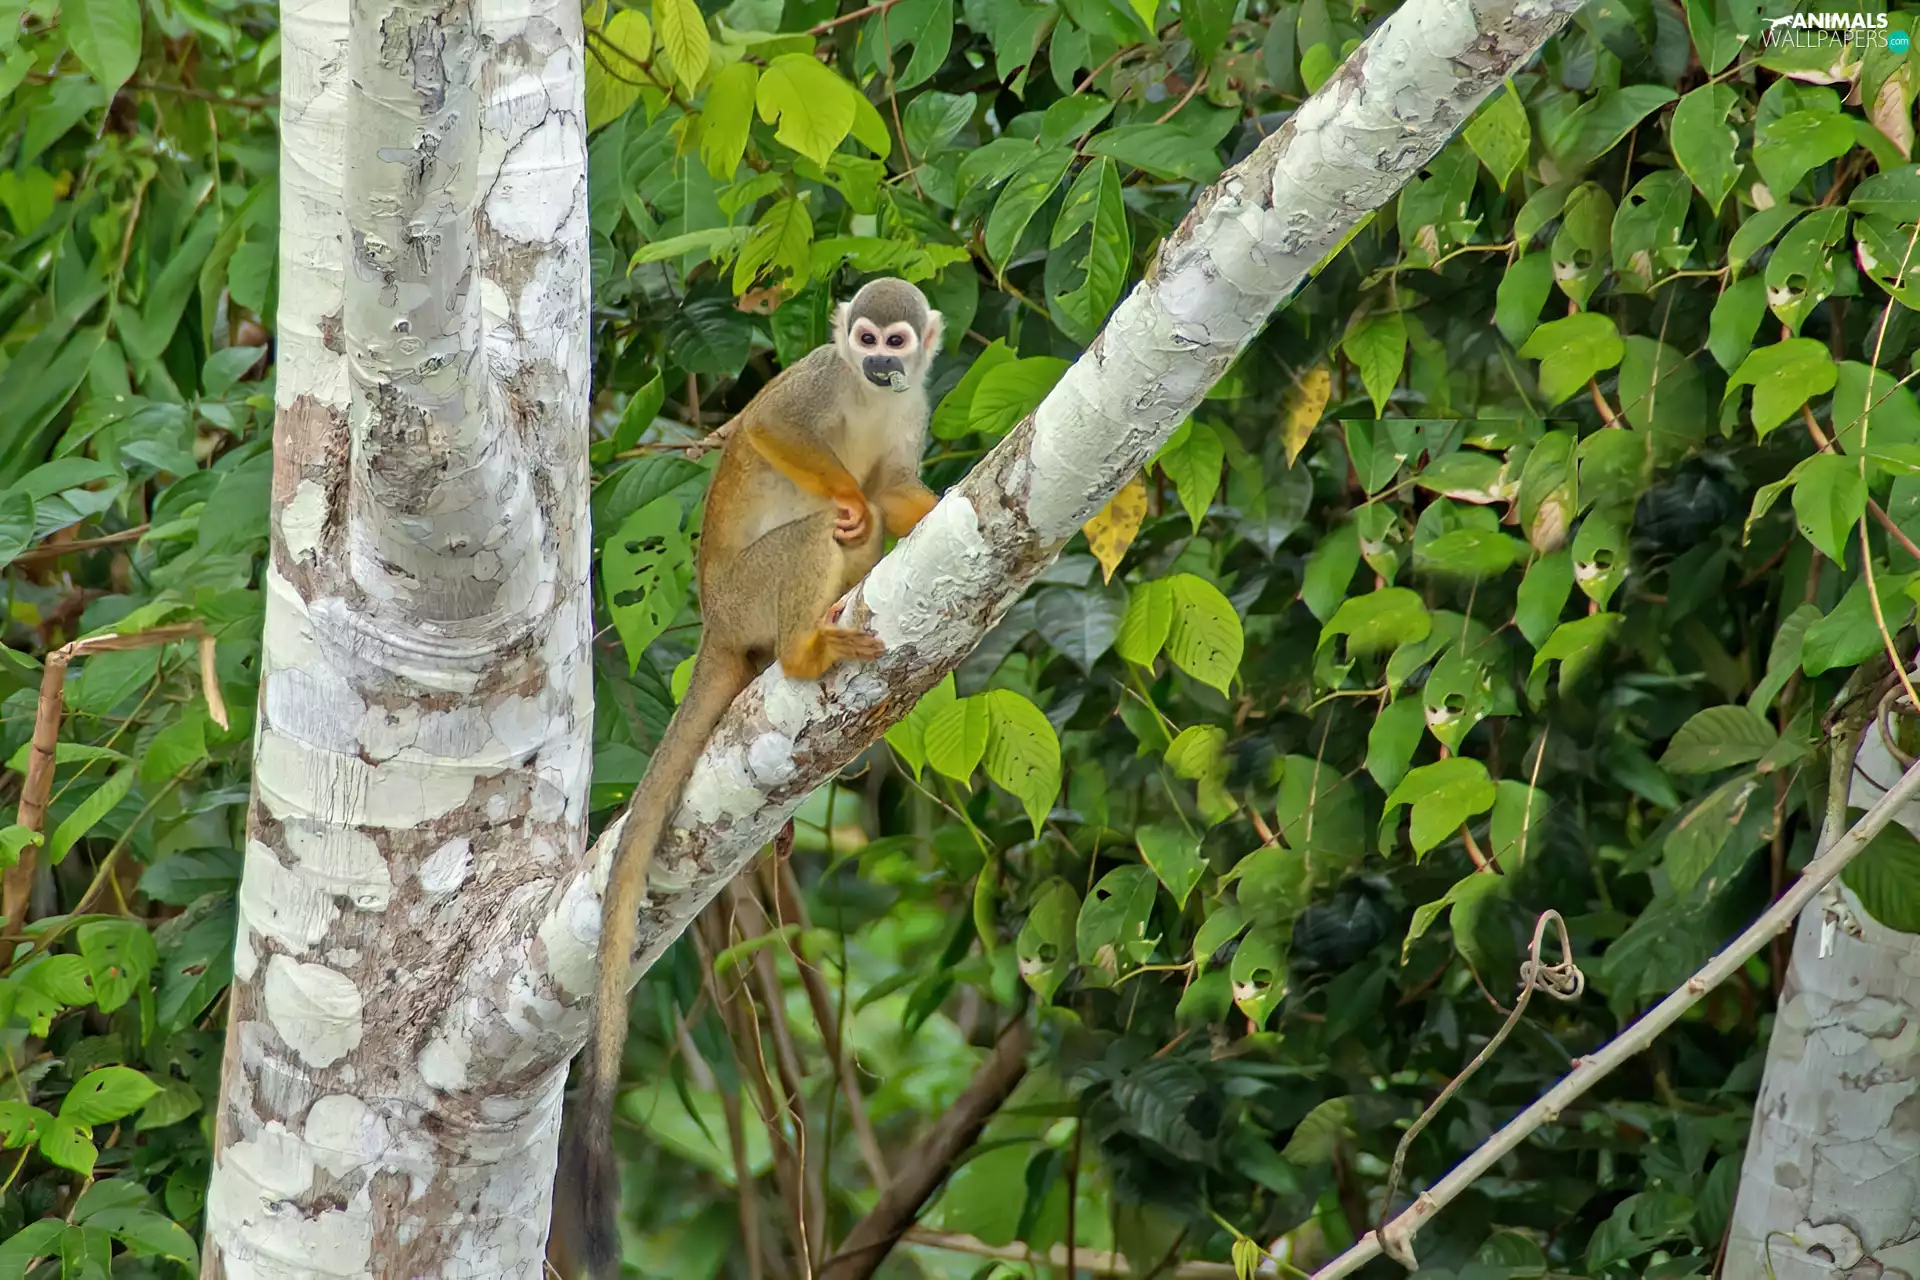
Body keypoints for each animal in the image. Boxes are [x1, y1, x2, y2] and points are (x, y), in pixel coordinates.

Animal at [553, 278, 945, 1279]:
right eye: (862, 339)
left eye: (896, 343)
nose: (878, 362)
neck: (871, 395)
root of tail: (718, 625)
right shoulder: (816, 381)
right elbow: (769, 429)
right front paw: (840, 490)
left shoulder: (914, 406)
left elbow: (895, 489)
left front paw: (926, 509)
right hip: (748, 593)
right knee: (813, 536)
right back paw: (805, 647)